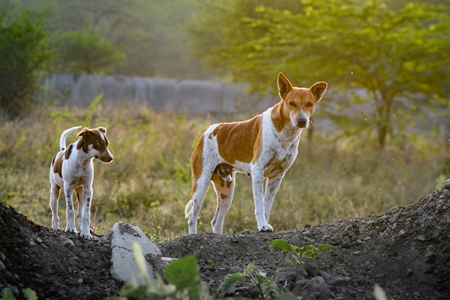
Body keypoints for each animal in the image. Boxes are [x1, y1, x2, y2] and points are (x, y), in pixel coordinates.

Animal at [185, 72, 328, 234]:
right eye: (292, 103)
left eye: (310, 104)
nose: (302, 121)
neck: (285, 133)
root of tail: (206, 132)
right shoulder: (257, 170)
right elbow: (259, 204)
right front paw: (262, 225)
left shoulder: (277, 177)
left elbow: (267, 205)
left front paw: (264, 225)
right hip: (201, 184)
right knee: (192, 218)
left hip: (226, 190)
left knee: (216, 221)